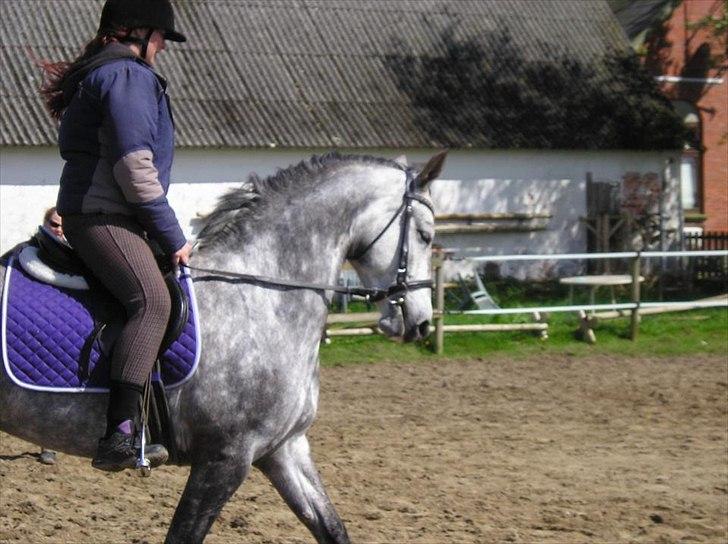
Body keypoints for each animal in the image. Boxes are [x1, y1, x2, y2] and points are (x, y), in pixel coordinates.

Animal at [0, 152, 444, 544]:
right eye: (426, 235)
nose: (421, 322)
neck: (262, 294)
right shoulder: (225, 459)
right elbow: (183, 536)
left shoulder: (284, 449)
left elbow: (332, 529)